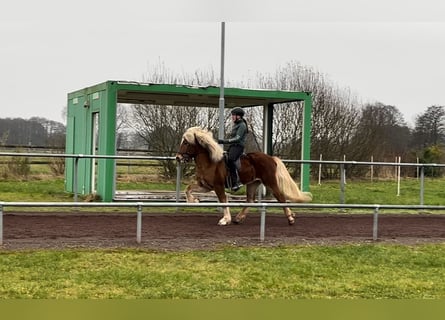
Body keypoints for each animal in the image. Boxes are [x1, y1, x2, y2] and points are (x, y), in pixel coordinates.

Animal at [174, 125, 312, 225]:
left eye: (186, 143)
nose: (178, 158)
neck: (210, 162)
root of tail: (271, 158)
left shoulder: (218, 186)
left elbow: (223, 200)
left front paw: (225, 220)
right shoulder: (206, 186)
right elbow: (188, 189)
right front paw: (194, 200)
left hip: (270, 182)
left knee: (281, 198)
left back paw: (290, 218)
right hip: (253, 183)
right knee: (250, 200)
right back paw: (239, 218)